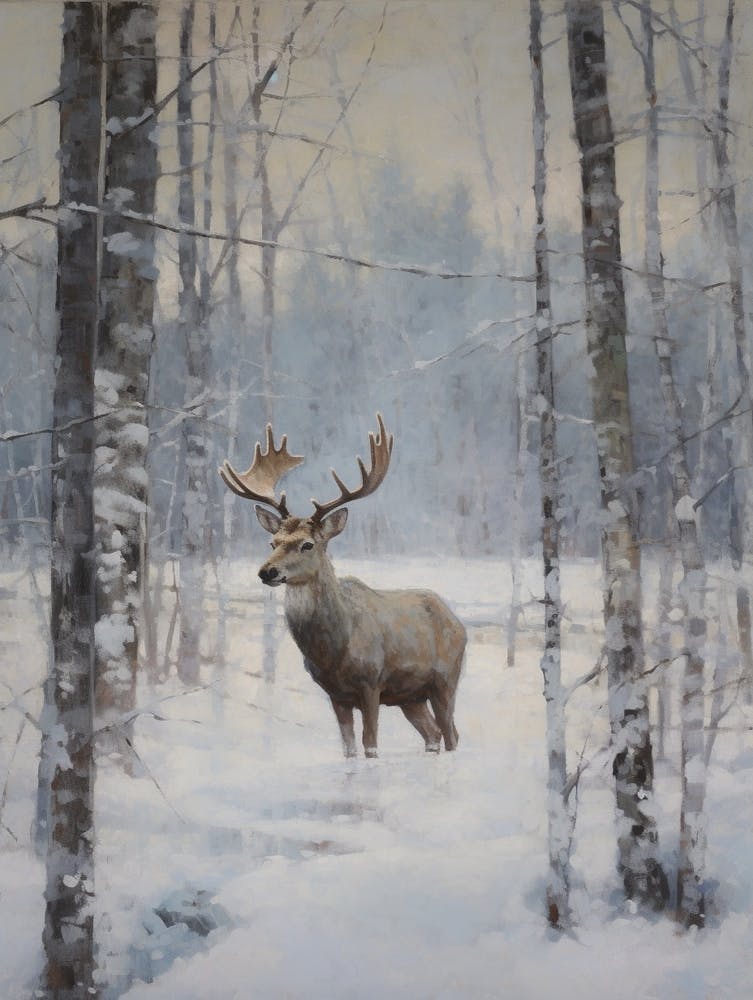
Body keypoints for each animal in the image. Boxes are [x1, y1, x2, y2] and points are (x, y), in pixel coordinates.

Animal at [219, 414, 466, 758]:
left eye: (307, 544)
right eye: (273, 542)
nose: (267, 572)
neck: (334, 650)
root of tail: (456, 621)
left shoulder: (372, 682)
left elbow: (370, 744)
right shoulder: (335, 694)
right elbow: (348, 748)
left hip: (445, 679)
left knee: (452, 734)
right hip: (410, 696)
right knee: (433, 735)